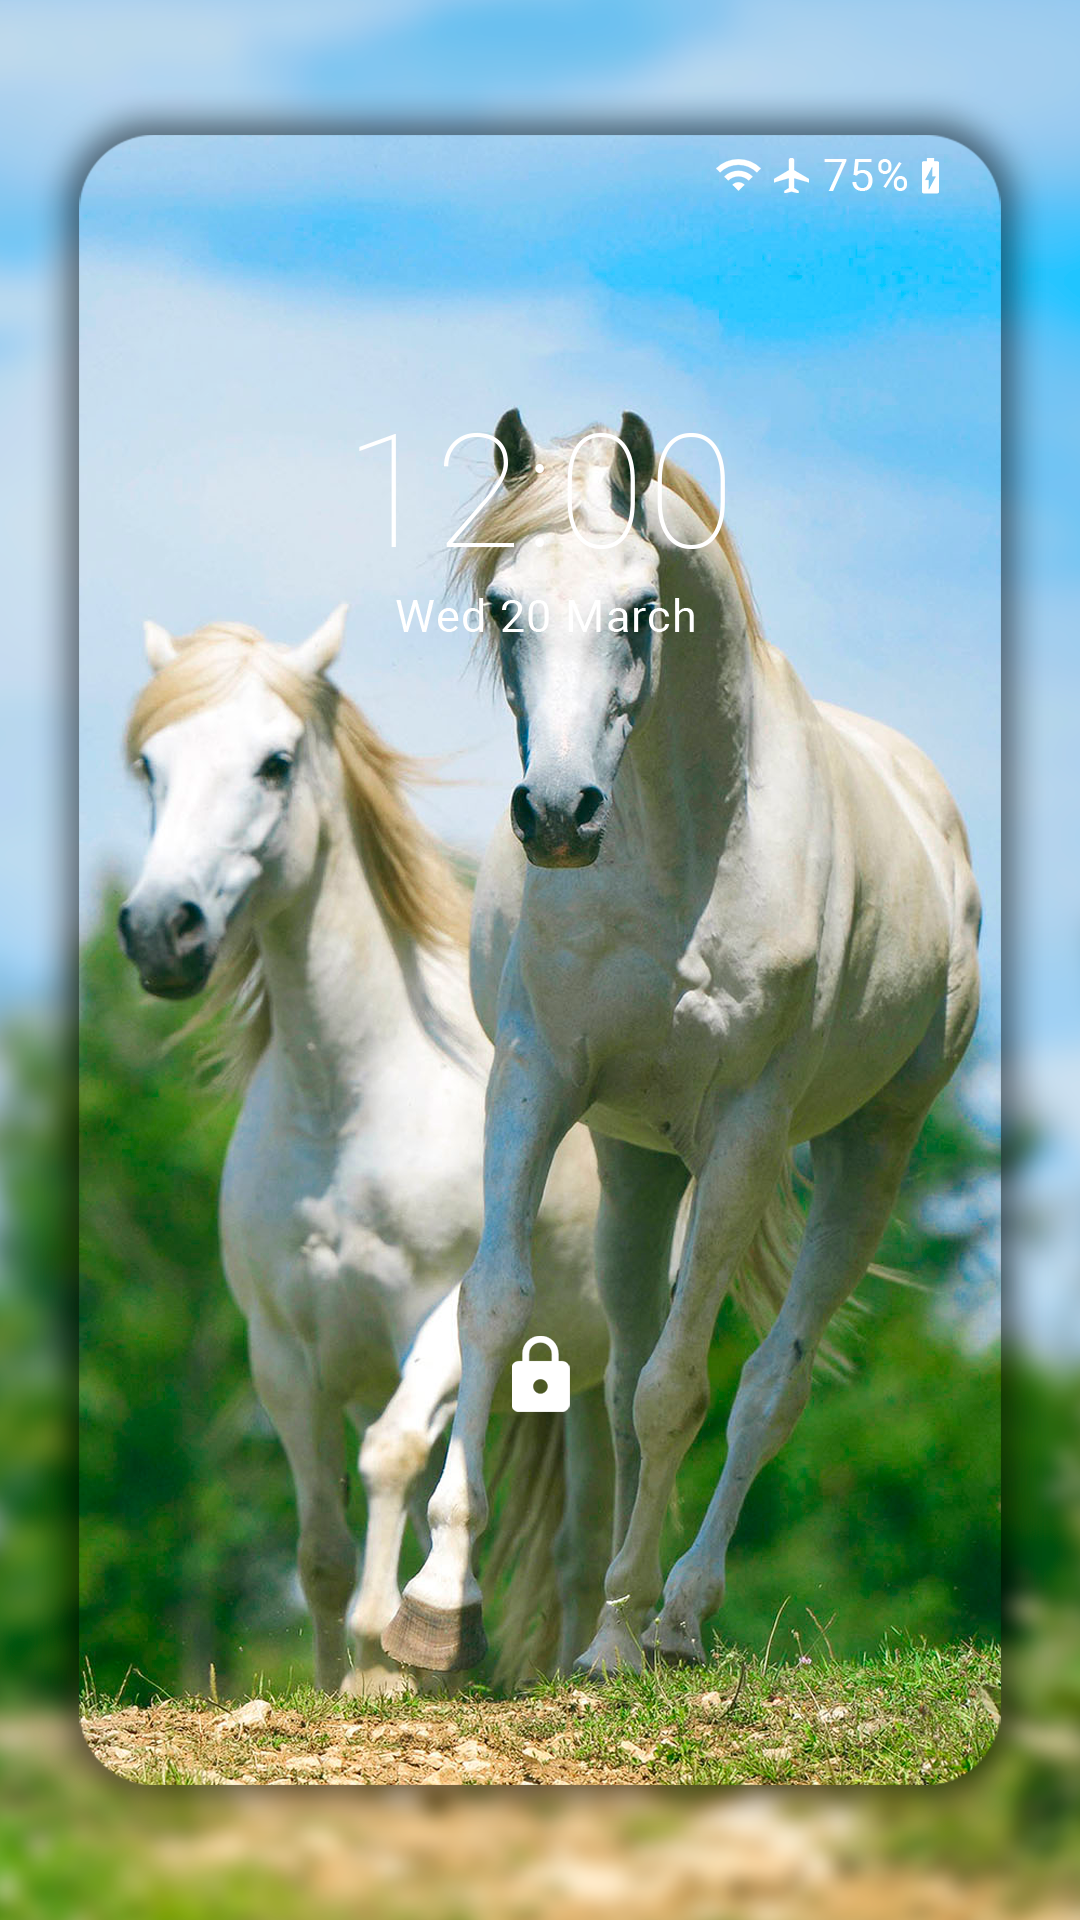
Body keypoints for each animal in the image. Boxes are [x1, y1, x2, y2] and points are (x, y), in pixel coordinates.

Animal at [117, 606, 613, 1693]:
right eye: (149, 766)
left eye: (274, 763)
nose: (161, 931)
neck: (348, 1105)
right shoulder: (283, 1353)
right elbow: (319, 1549)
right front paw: (338, 1677)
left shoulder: (433, 1322)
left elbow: (391, 1462)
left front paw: (388, 1652)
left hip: (602, 1363)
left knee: (600, 1513)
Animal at [382, 411, 982, 1678]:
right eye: (503, 607)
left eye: (640, 607)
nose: (560, 816)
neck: (675, 847)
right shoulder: (535, 1083)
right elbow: (496, 1311)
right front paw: (434, 1605)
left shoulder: (748, 1134)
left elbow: (678, 1391)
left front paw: (624, 1625)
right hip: (638, 1164)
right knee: (617, 1381)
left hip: (868, 1151)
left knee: (765, 1386)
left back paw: (669, 1616)